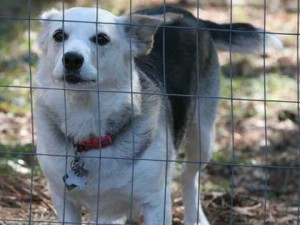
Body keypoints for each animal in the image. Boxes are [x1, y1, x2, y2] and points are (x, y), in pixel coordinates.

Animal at [35, 5, 282, 225]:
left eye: (102, 38)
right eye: (59, 35)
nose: (72, 59)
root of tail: (189, 15)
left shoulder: (156, 202)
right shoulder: (63, 200)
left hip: (203, 137)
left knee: (188, 177)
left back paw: (195, 217)